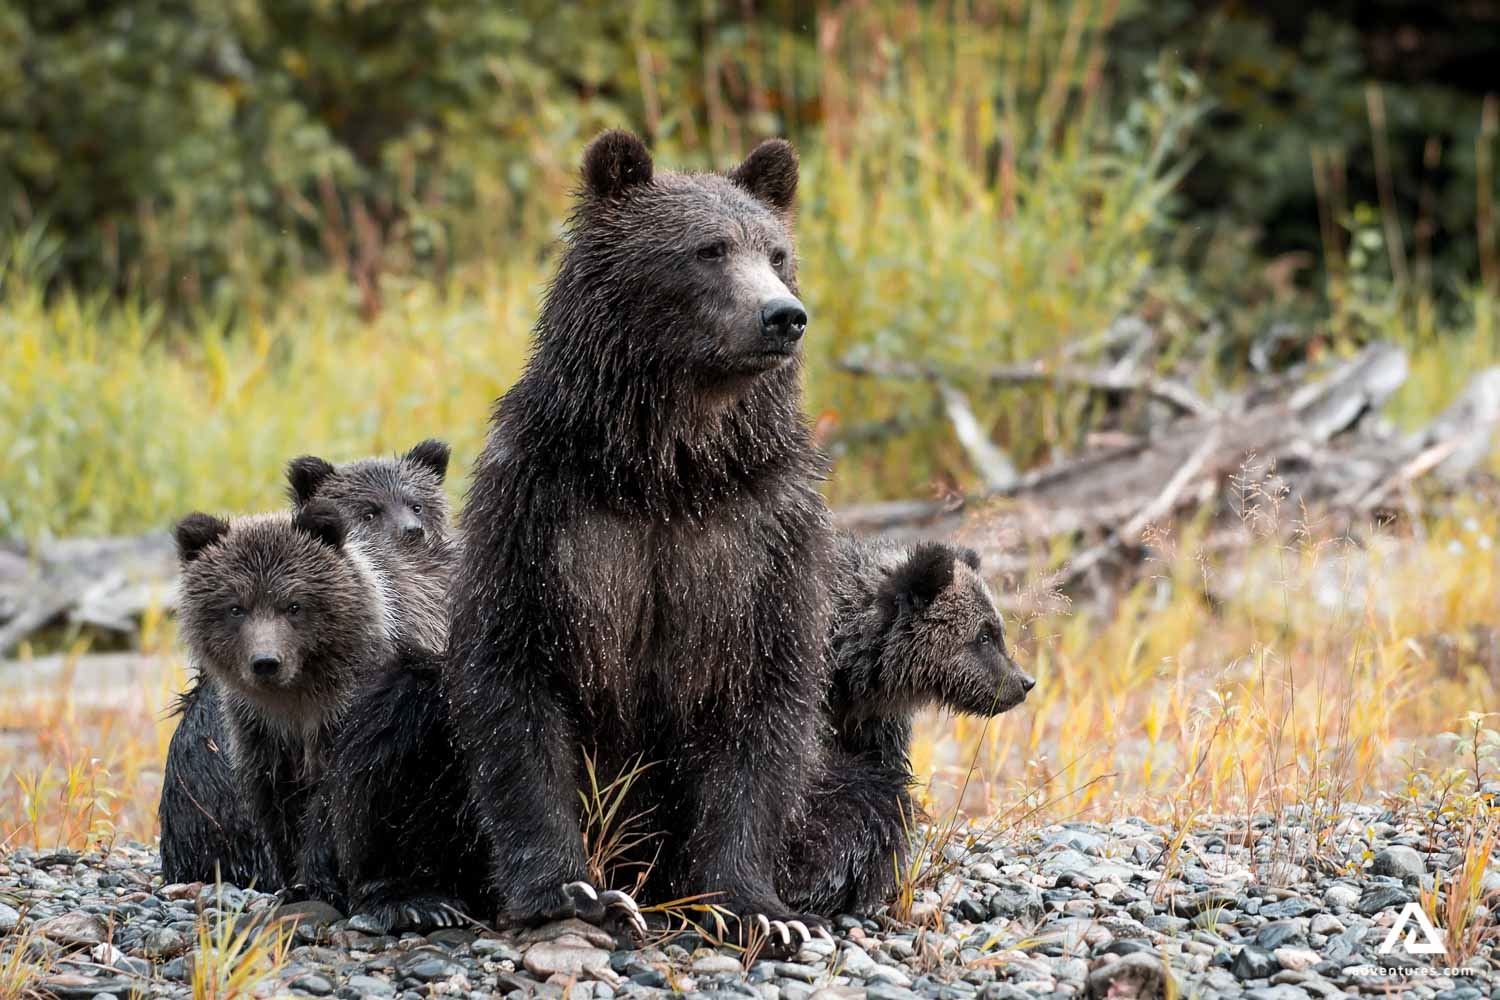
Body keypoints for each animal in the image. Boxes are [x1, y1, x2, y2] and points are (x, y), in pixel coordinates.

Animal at [450, 128, 840, 941]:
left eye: (777, 252)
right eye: (709, 249)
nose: (784, 315)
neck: (665, 466)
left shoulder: (766, 534)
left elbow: (765, 699)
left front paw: (761, 910)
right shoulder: (539, 513)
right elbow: (513, 684)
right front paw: (576, 889)